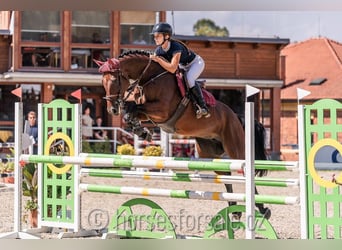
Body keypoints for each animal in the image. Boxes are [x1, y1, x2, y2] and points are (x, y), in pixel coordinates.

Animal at [95, 49, 270, 218]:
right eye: (102, 83)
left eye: (114, 81)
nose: (112, 110)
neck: (149, 78)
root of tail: (236, 115)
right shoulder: (148, 113)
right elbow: (131, 112)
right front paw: (142, 132)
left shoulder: (162, 110)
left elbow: (133, 108)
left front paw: (141, 129)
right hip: (208, 152)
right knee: (225, 174)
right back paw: (235, 210)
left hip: (235, 147)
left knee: (244, 172)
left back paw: (263, 209)